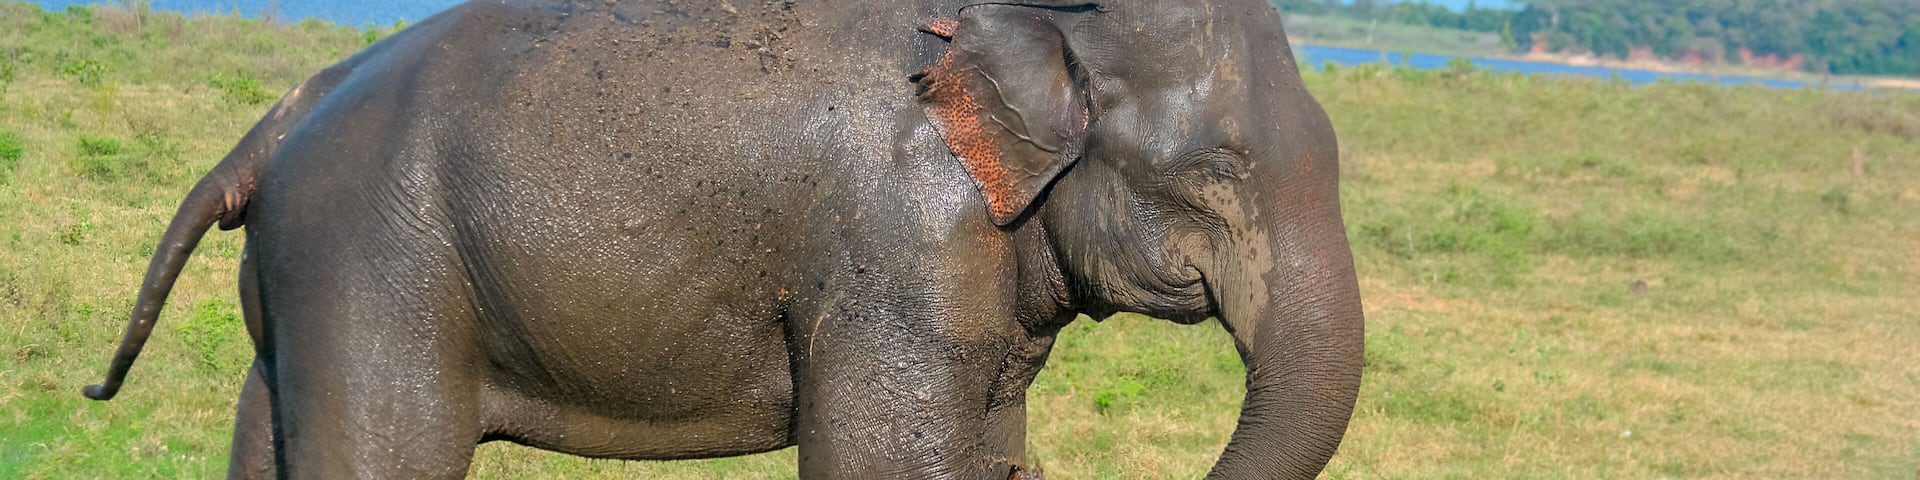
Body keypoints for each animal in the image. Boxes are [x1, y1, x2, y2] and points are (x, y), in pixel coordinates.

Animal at [82, 0, 1363, 478]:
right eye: (1220, 170)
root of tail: (280, 113)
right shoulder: (902, 245)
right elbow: (880, 461)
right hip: (374, 263)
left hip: (306, 283)